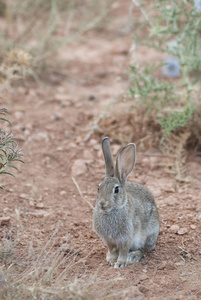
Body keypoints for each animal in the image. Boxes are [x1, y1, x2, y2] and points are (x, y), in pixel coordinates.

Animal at [93, 137, 160, 268]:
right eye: (99, 187)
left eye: (116, 190)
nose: (102, 204)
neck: (113, 211)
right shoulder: (109, 240)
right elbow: (112, 249)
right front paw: (111, 259)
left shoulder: (127, 238)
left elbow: (124, 250)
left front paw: (120, 263)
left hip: (149, 233)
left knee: (145, 249)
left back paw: (134, 256)